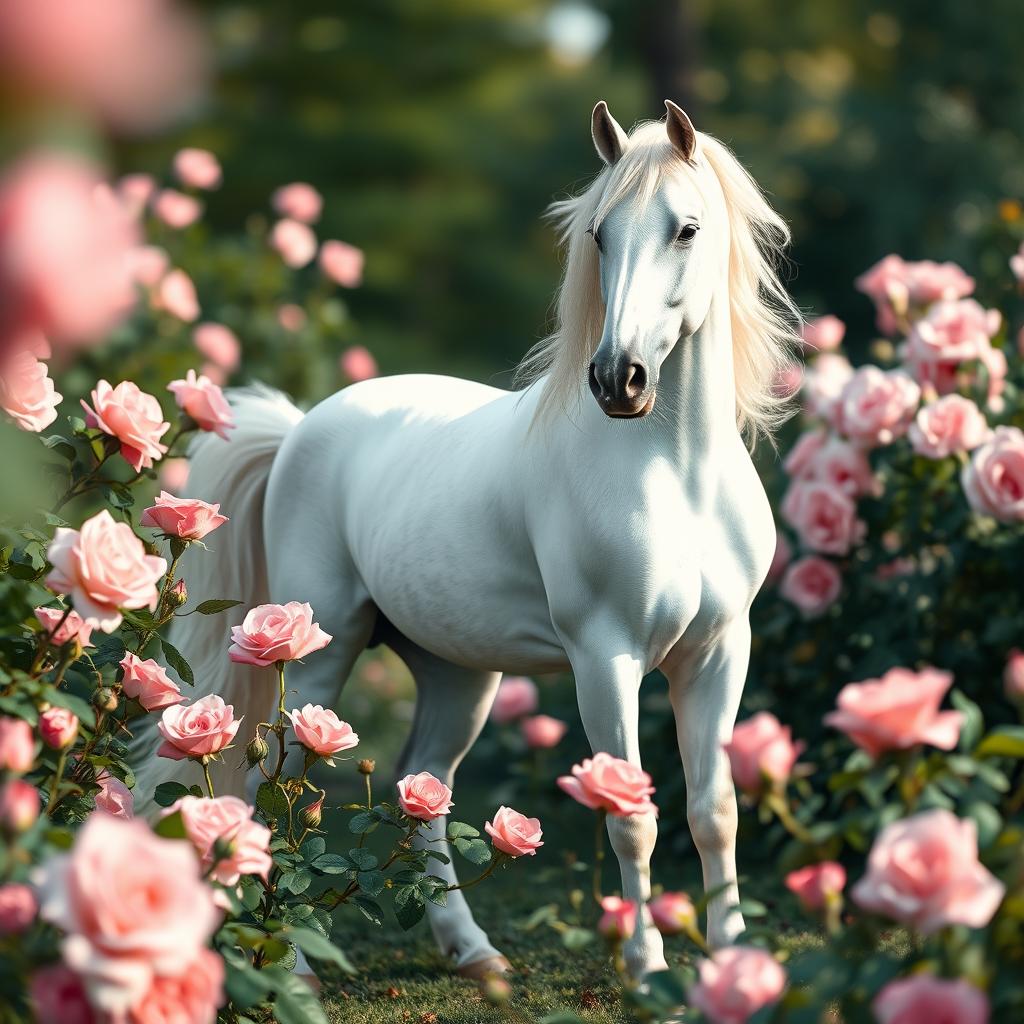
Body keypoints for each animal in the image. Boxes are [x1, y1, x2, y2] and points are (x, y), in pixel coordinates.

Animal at [135, 100, 800, 981]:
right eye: (599, 236)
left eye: (686, 228)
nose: (617, 379)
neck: (674, 480)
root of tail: (302, 427)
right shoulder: (608, 659)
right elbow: (633, 816)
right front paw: (648, 967)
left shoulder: (720, 652)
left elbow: (713, 810)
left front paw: (733, 958)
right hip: (315, 656)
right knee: (274, 782)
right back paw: (295, 963)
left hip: (456, 673)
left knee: (421, 786)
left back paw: (475, 953)